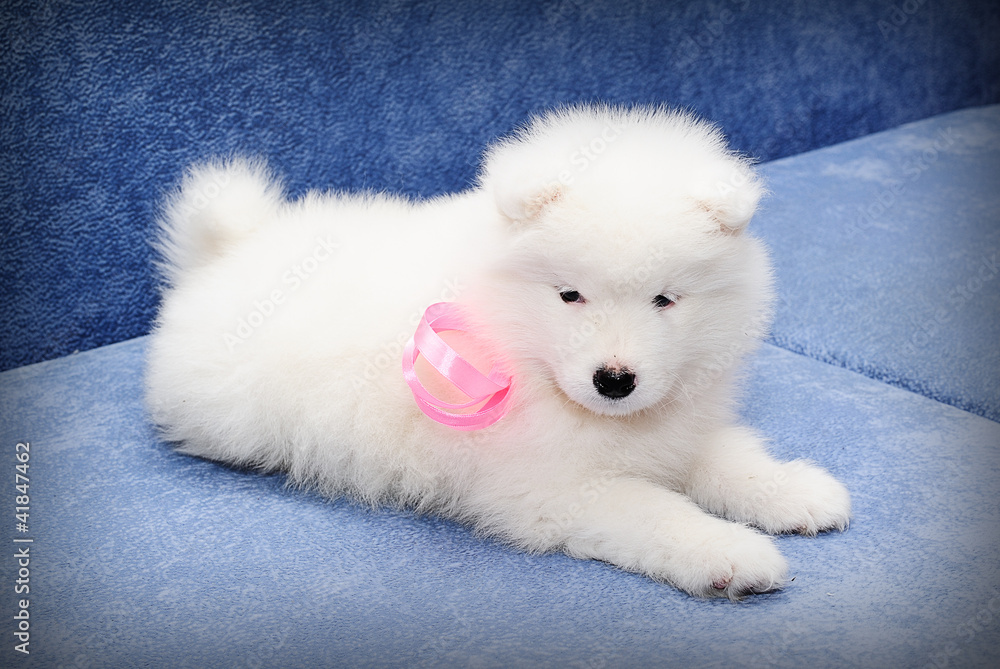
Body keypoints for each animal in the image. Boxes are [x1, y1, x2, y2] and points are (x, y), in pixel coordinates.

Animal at [146, 105, 852, 600]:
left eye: (665, 300)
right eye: (570, 295)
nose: (614, 380)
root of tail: (227, 254)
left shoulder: (678, 424)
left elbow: (727, 458)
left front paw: (792, 491)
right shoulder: (552, 489)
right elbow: (655, 511)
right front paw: (730, 553)